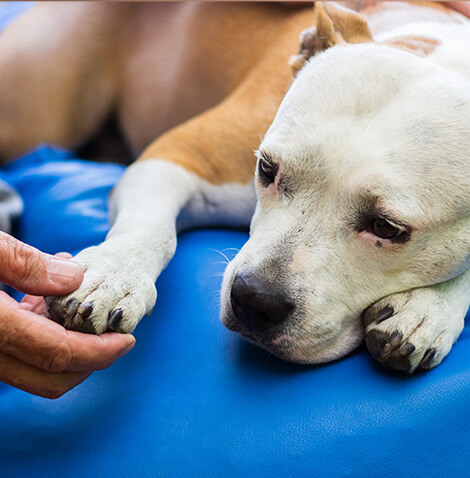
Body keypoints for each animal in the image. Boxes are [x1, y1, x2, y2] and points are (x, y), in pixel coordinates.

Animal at [2, 1, 470, 374]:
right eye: (266, 168)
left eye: (387, 228)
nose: (254, 300)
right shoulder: (179, 155)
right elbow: (151, 228)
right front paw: (112, 274)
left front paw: (429, 309)